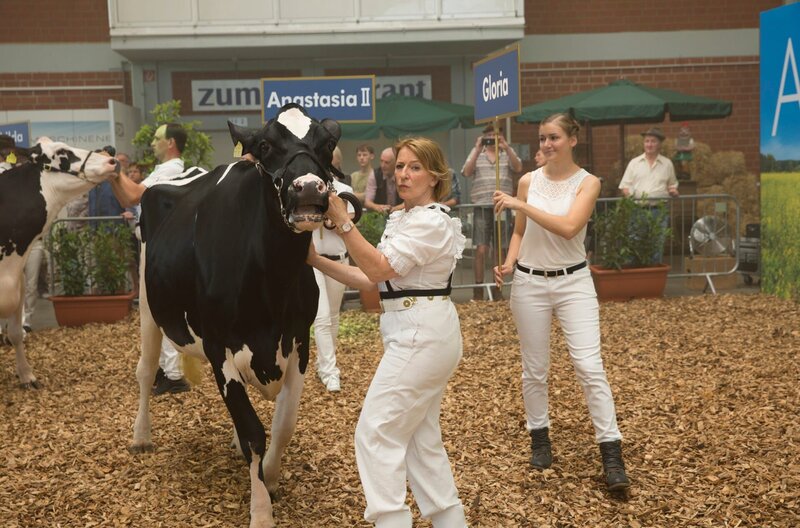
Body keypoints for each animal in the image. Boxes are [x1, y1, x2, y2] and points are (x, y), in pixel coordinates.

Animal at [130, 104, 359, 528]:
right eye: (265, 145)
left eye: (327, 143)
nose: (308, 188)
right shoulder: (219, 345)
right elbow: (254, 430)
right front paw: (261, 510)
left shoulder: (298, 343)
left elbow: (283, 424)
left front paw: (270, 476)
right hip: (149, 306)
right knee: (145, 369)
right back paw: (141, 436)